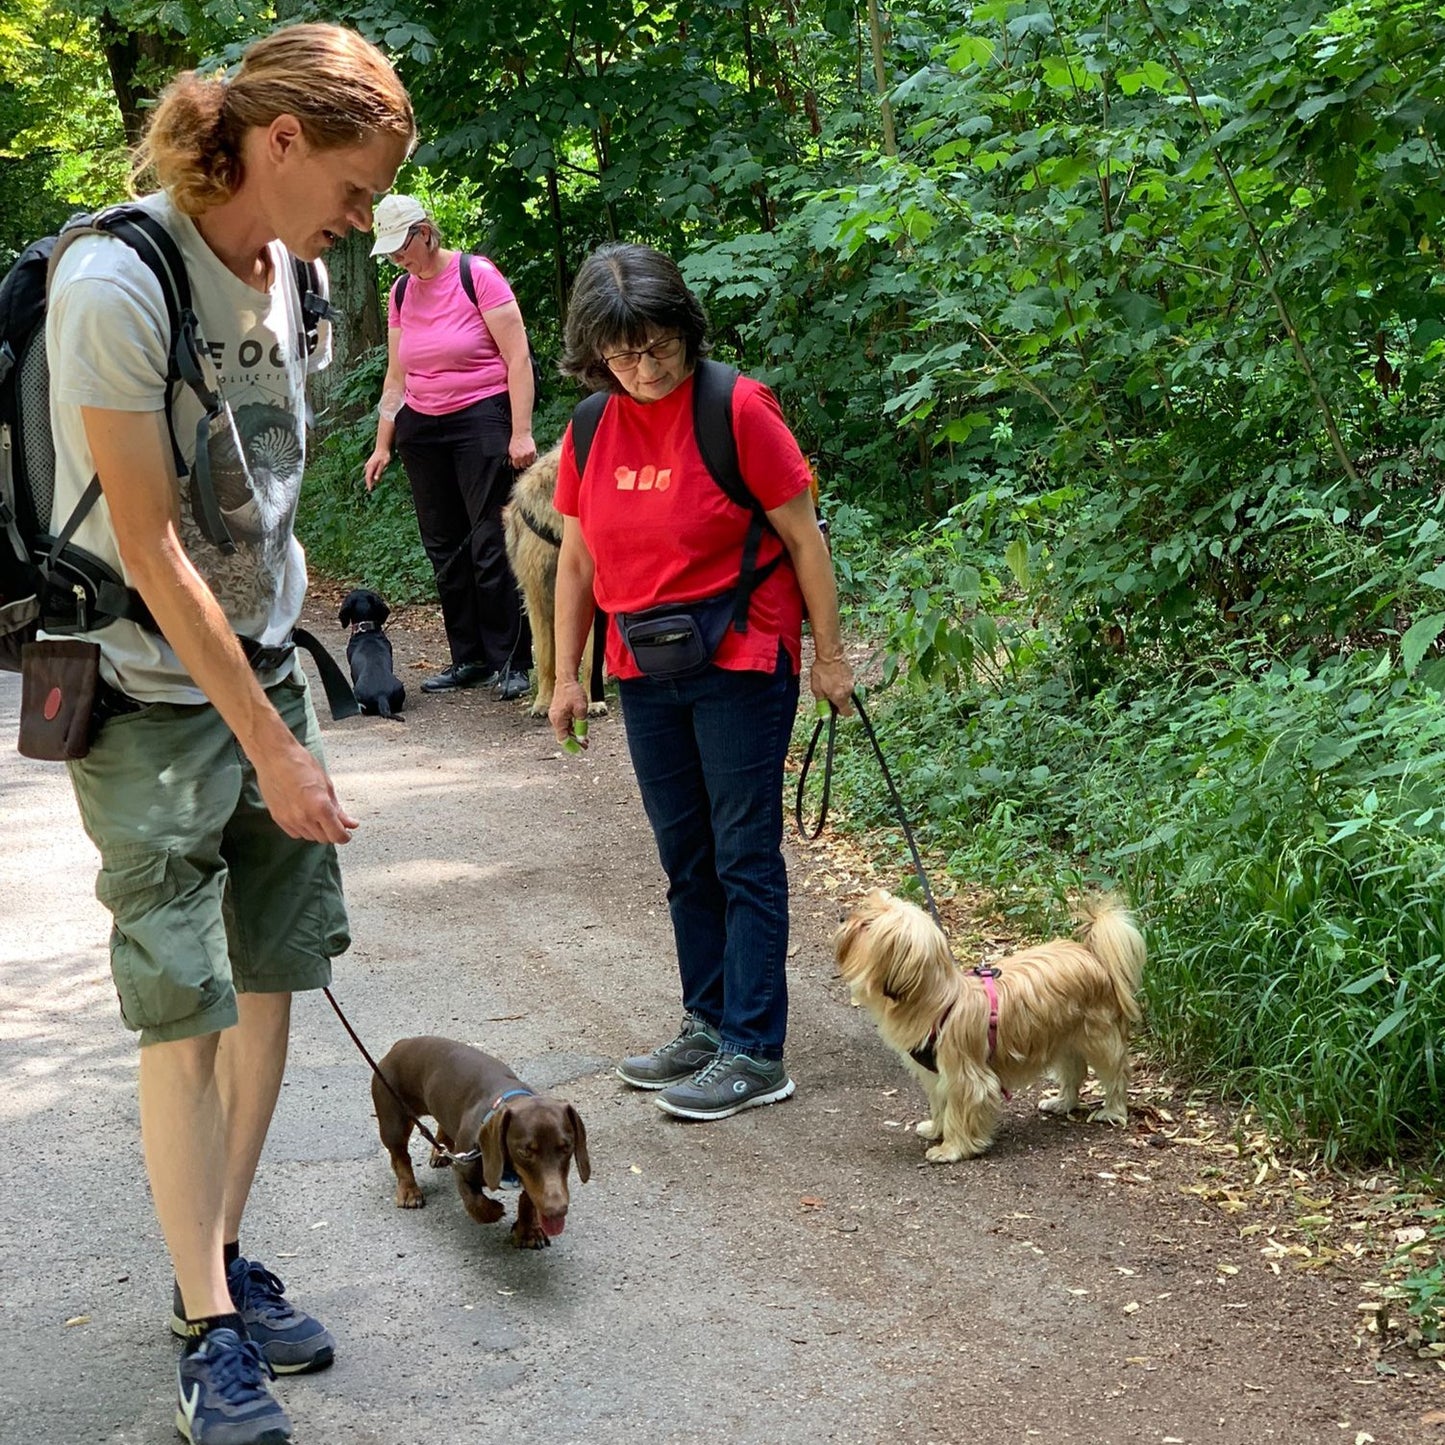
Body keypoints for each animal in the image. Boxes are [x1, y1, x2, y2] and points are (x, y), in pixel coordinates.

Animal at [832, 890, 1144, 1161]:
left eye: (867, 925)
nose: (843, 917)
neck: (939, 1003)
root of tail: (1094, 955)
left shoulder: (966, 1077)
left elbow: (960, 1111)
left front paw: (951, 1149)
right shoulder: (938, 1076)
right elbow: (940, 1105)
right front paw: (935, 1129)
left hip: (1100, 1038)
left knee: (1116, 1073)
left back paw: (1112, 1110)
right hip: (1063, 1038)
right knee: (1074, 1071)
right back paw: (1062, 1103)